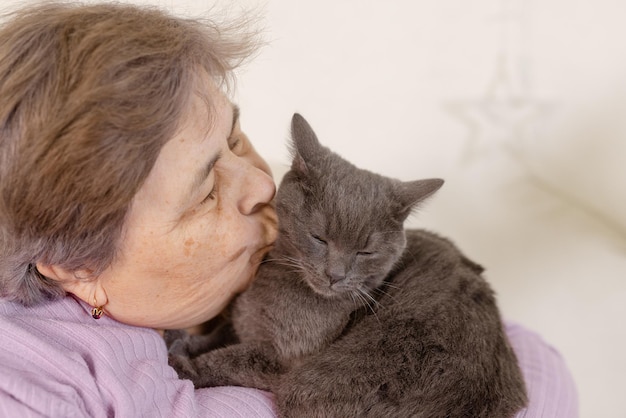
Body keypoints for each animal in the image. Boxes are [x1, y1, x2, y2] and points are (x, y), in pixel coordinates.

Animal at [167, 113, 528, 418]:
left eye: (365, 252)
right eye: (319, 237)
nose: (335, 275)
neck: (275, 283)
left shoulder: (284, 360)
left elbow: (231, 358)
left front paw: (181, 365)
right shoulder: (243, 320)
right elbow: (221, 332)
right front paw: (184, 341)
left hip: (307, 385)